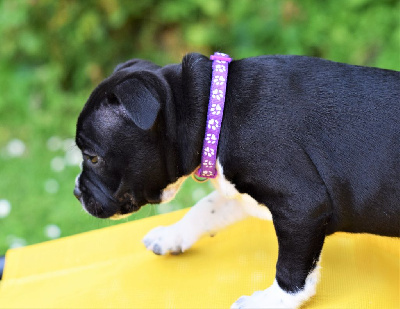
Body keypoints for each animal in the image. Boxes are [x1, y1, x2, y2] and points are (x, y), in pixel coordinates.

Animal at [73, 54, 398, 306]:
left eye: (92, 158)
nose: (76, 192)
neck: (210, 109)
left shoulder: (302, 207)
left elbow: (291, 269)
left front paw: (272, 301)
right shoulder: (240, 193)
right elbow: (205, 208)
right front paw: (171, 235)